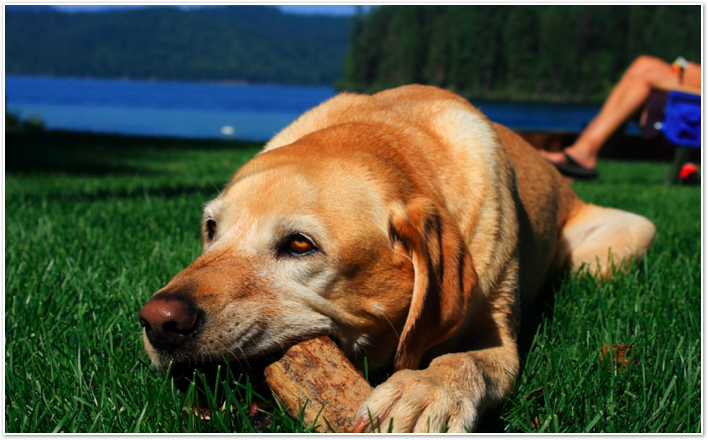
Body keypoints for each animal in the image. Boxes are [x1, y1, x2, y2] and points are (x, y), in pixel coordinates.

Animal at [140, 84, 660, 432]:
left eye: (300, 244)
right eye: (211, 229)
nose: (158, 321)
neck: (391, 138)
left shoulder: (495, 337)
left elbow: (462, 362)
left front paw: (424, 393)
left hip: (624, 241)